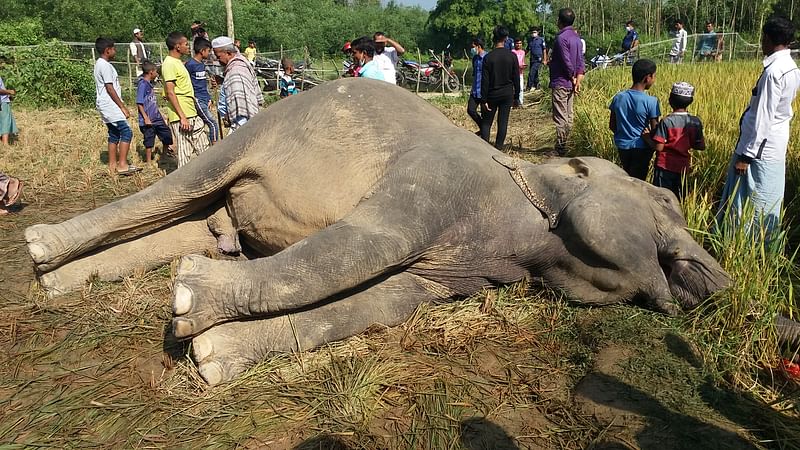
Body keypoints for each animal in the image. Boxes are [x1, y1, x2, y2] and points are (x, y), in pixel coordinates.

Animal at [25, 79, 764, 384]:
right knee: (185, 185)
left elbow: (383, 300)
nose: (727, 281)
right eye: (665, 204)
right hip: (257, 128)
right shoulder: (437, 179)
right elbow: (362, 247)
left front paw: (213, 357)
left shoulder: (467, 270)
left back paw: (53, 281)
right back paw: (38, 247)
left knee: (191, 223)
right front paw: (187, 300)